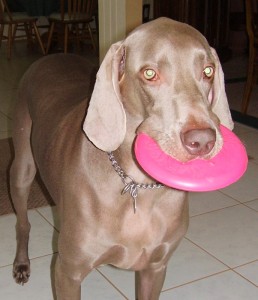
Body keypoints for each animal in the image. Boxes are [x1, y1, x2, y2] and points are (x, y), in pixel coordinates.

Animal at [10, 17, 233, 298]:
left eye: (208, 71)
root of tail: (51, 55)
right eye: (149, 73)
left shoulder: (155, 268)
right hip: (22, 165)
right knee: (23, 221)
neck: (138, 186)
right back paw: (21, 264)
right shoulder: (67, 272)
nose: (202, 141)